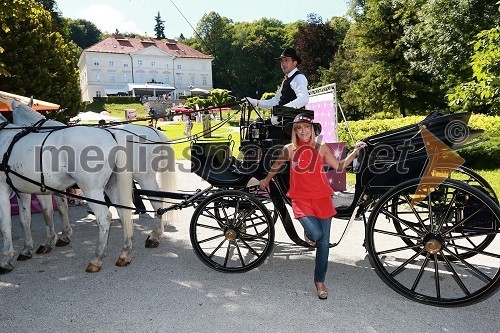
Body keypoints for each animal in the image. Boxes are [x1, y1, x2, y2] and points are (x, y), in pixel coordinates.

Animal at [0, 105, 133, 274]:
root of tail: (112, 135)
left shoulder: (5, 189)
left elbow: (6, 224)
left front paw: (6, 259)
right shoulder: (28, 190)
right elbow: (29, 218)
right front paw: (29, 248)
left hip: (92, 190)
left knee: (104, 218)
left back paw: (97, 258)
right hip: (112, 186)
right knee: (123, 213)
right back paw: (125, 253)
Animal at [12, 104, 178, 252]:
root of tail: (151, 130)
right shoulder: (59, 186)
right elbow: (62, 208)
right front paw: (65, 235)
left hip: (143, 177)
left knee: (156, 202)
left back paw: (153, 235)